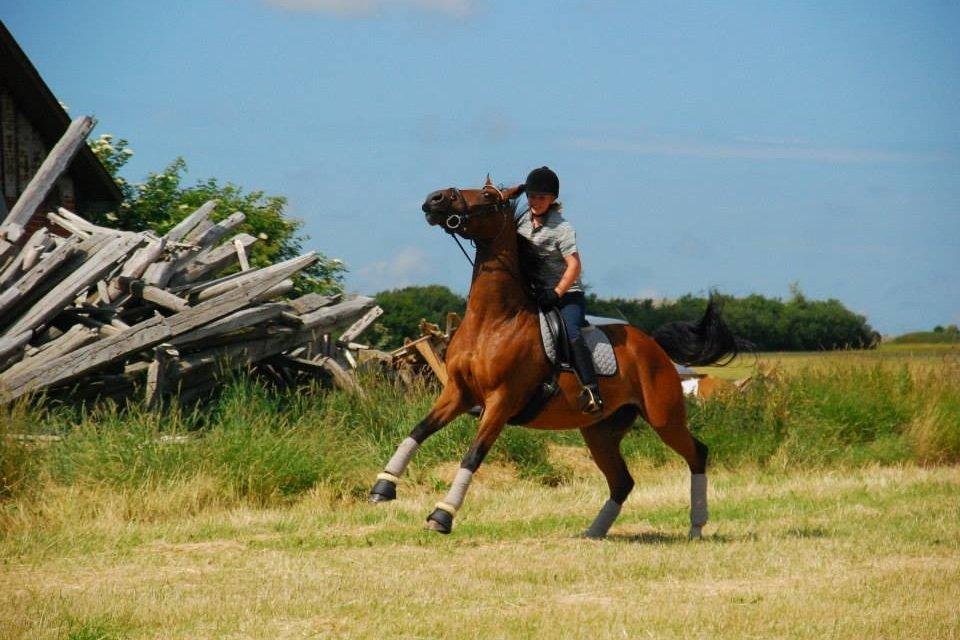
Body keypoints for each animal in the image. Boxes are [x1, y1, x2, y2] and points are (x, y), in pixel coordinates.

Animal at [368, 176, 743, 539]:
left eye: (488, 197)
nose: (434, 199)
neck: (492, 321)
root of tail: (655, 346)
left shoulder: (501, 401)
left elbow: (473, 455)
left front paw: (442, 515)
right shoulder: (459, 393)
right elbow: (419, 430)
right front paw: (383, 487)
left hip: (664, 418)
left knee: (697, 454)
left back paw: (696, 527)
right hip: (600, 432)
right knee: (622, 481)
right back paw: (593, 532)